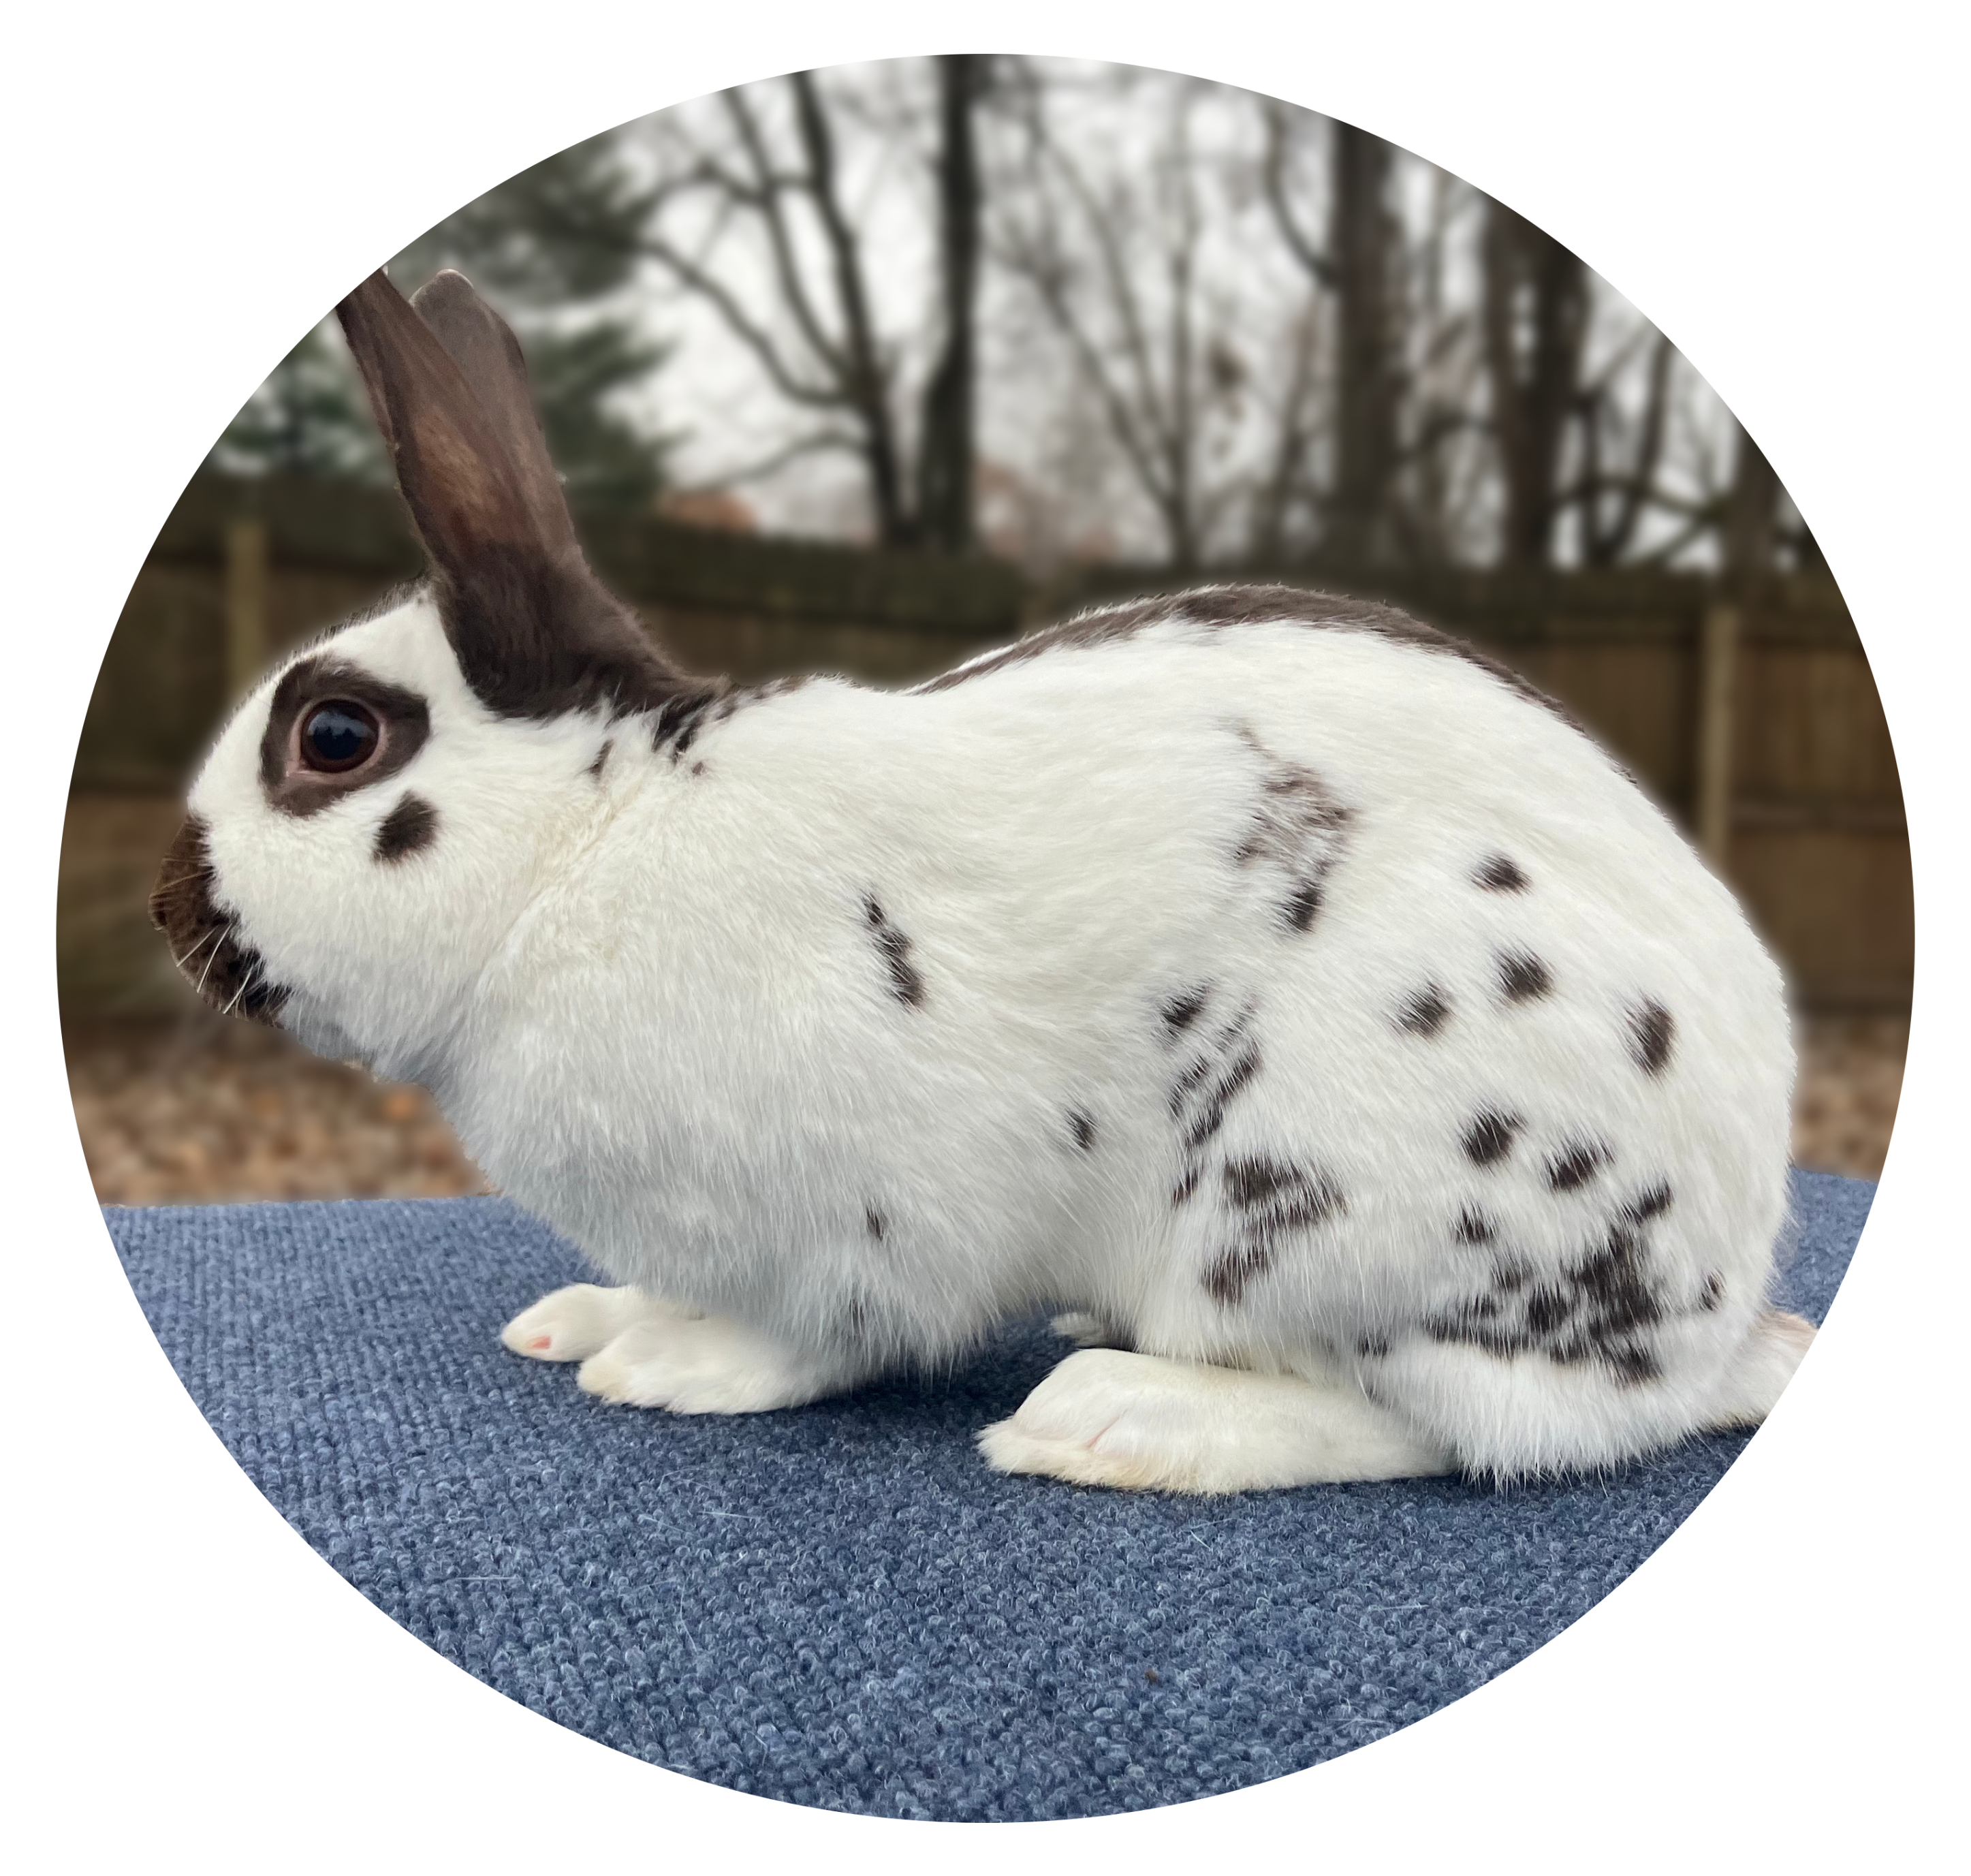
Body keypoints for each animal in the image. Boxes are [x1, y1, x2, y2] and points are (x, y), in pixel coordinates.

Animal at [149, 266, 1817, 1493]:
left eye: (334, 735)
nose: (172, 912)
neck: (592, 839)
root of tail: (1720, 1309)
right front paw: (590, 1321)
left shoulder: (871, 1225)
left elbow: (817, 1339)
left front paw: (669, 1364)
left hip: (1329, 1198)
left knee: (1451, 1424)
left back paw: (1116, 1415)